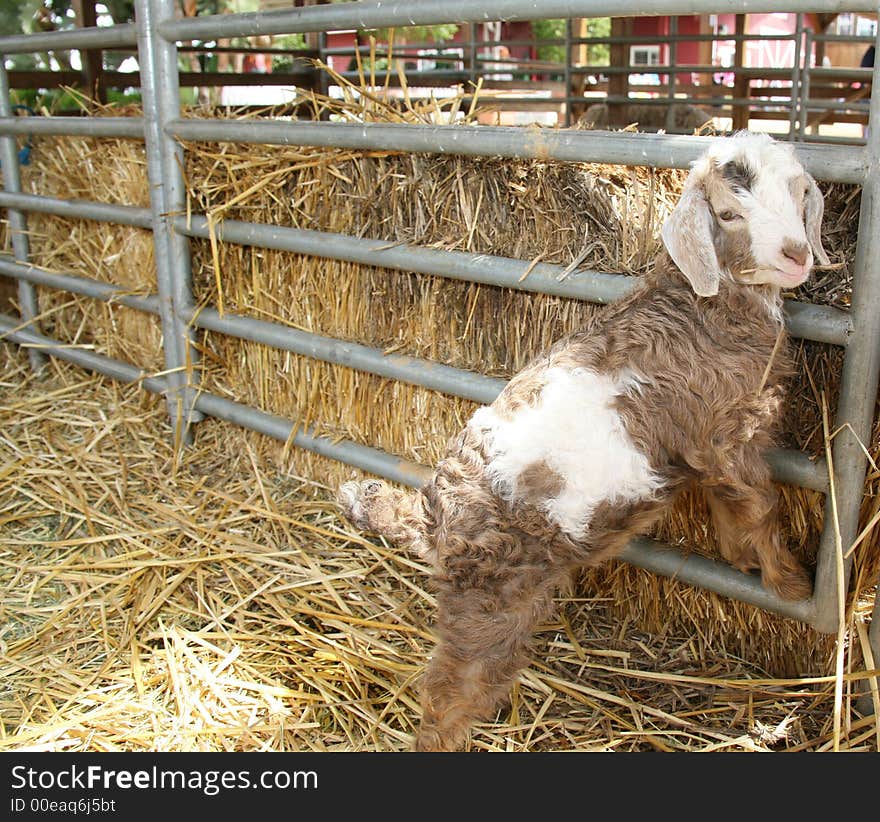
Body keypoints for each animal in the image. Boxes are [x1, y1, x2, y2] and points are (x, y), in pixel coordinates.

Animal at [336, 134, 832, 752]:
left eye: (799, 192)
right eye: (727, 213)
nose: (795, 254)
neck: (704, 303)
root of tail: (433, 513)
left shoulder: (707, 445)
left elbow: (732, 507)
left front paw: (741, 559)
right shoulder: (732, 431)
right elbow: (762, 506)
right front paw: (791, 584)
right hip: (489, 601)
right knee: (451, 693)